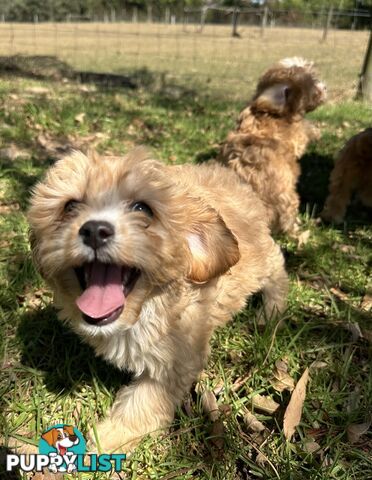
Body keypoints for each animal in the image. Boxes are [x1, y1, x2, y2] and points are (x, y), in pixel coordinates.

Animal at [28, 149, 288, 454]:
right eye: (70, 207)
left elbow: (144, 401)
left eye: (143, 209)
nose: (94, 230)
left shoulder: (177, 359)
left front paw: (109, 438)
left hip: (259, 260)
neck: (142, 311)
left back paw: (272, 308)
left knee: (276, 264)